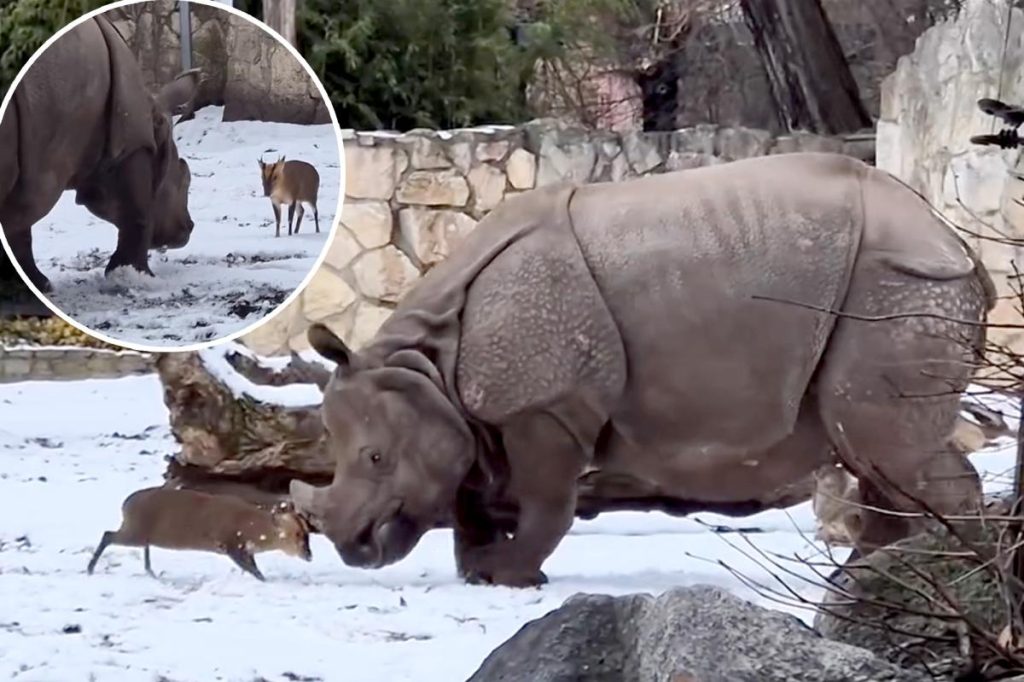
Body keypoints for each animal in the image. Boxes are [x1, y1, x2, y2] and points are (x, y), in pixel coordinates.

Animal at [0, 14, 195, 293]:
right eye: (183, 177)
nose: (189, 228)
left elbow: (19, 231)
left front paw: (35, 283)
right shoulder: (131, 145)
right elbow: (138, 213)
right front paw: (137, 277)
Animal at [86, 486, 313, 581]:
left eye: (307, 533)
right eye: (297, 534)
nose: (309, 555)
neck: (252, 529)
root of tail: (125, 504)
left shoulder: (244, 548)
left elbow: (252, 567)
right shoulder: (229, 543)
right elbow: (254, 571)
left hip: (139, 532)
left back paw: (151, 572)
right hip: (134, 530)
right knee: (108, 534)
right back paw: (89, 569)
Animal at [292, 152, 995, 588]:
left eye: (376, 458)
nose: (353, 547)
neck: (426, 361)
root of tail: (954, 239)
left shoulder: (546, 403)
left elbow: (546, 500)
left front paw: (508, 576)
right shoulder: (479, 411)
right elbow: (470, 492)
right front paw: (477, 569)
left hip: (899, 285)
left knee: (886, 447)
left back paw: (936, 578)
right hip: (895, 287)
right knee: (874, 453)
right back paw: (866, 582)